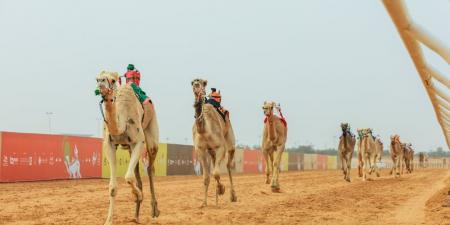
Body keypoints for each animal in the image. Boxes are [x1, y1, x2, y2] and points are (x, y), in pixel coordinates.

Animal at [95, 71, 160, 225]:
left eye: (113, 80)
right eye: (97, 78)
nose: (101, 82)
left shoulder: (139, 141)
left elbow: (128, 177)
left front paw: (139, 195)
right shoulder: (109, 144)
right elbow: (113, 187)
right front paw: (108, 221)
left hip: (151, 131)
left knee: (150, 168)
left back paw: (154, 210)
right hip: (130, 148)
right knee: (138, 173)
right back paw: (136, 216)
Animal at [191, 78, 237, 207]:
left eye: (203, 83)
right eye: (193, 83)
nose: (197, 86)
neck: (205, 131)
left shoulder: (221, 147)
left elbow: (216, 173)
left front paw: (222, 189)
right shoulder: (200, 149)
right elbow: (206, 177)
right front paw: (204, 203)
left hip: (230, 140)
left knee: (228, 165)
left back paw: (233, 196)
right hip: (211, 151)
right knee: (215, 163)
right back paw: (216, 201)